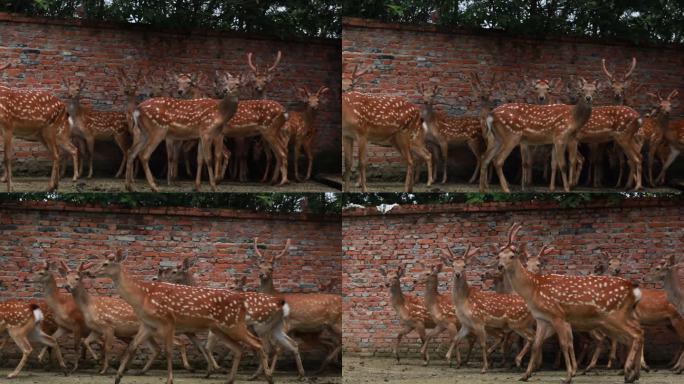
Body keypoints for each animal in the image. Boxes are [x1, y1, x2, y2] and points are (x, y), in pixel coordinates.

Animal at [0, 62, 78, 192]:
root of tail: (64, 108)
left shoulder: (8, 126)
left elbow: (7, 157)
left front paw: (10, 189)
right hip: (42, 134)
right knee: (57, 153)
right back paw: (55, 185)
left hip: (51, 128)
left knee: (58, 153)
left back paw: (52, 186)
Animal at [342, 65, 432, 195]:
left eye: (351, 83)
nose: (344, 88)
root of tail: (418, 113)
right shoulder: (346, 135)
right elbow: (348, 162)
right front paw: (346, 190)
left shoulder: (363, 132)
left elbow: (362, 162)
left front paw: (364, 189)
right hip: (396, 139)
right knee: (412, 159)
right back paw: (411, 188)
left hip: (406, 133)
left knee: (413, 159)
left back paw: (409, 188)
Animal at [438, 243, 536, 372]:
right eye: (453, 265)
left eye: (464, 266)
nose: (457, 274)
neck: (463, 301)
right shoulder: (466, 324)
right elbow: (456, 338)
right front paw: (450, 359)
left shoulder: (478, 320)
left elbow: (483, 344)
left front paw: (484, 367)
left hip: (517, 323)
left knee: (530, 337)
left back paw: (519, 362)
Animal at [494, 224, 644, 382]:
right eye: (498, 256)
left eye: (512, 256)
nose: (500, 266)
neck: (533, 289)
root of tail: (633, 289)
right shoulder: (542, 318)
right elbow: (536, 344)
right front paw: (525, 375)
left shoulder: (557, 314)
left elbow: (564, 344)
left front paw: (568, 376)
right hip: (624, 315)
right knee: (637, 333)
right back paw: (634, 373)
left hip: (615, 315)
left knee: (635, 334)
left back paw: (626, 371)